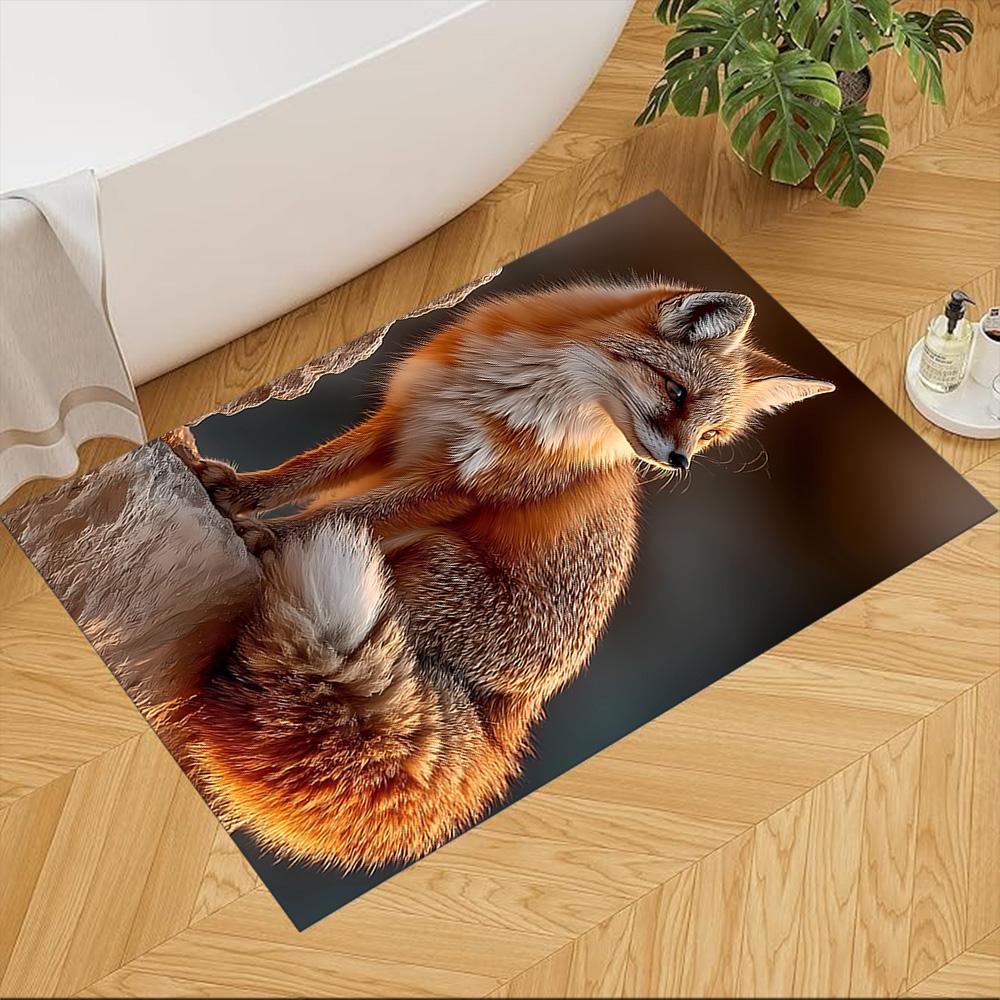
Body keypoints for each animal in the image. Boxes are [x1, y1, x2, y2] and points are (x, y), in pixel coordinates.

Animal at [172, 280, 834, 870]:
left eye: (711, 432)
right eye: (676, 392)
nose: (679, 461)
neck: (510, 398)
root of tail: (507, 722)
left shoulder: (454, 486)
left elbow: (341, 513)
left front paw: (270, 533)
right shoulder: (400, 430)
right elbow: (306, 473)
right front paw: (238, 493)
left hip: (430, 552)